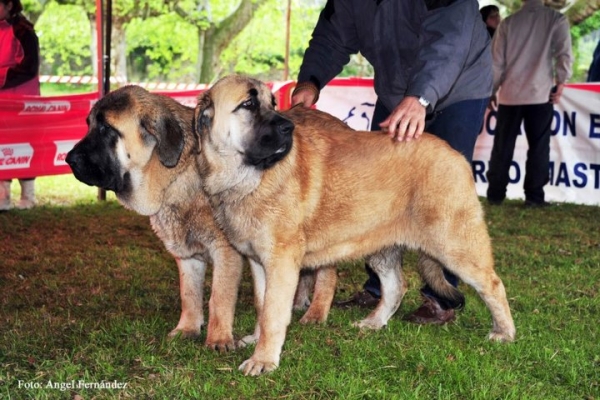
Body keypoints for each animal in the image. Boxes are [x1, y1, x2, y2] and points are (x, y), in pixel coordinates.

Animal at [193, 74, 516, 376]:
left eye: (272, 103)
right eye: (248, 104)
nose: (288, 128)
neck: (248, 178)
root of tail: (456, 155)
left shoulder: (281, 262)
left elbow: (272, 313)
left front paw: (263, 360)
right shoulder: (258, 262)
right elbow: (262, 306)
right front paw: (256, 340)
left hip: (455, 246)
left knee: (493, 284)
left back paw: (504, 333)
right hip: (381, 248)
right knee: (396, 286)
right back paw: (375, 322)